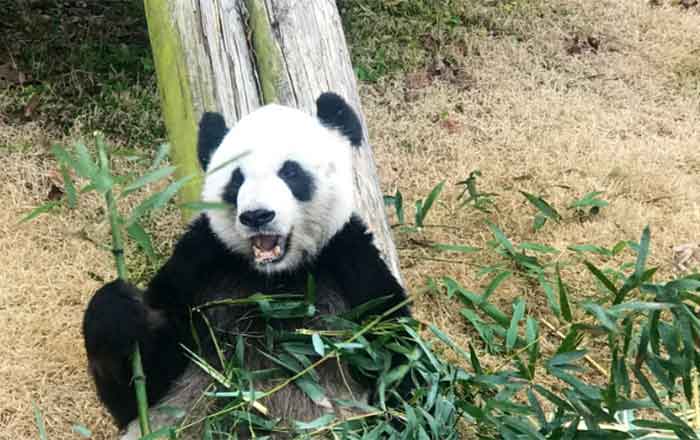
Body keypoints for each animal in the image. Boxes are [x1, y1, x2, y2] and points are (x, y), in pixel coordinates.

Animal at [83, 92, 410, 438]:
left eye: (290, 172)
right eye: (236, 179)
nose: (257, 215)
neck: (274, 278)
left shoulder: (352, 264)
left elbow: (397, 361)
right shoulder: (198, 264)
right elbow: (139, 388)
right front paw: (120, 310)